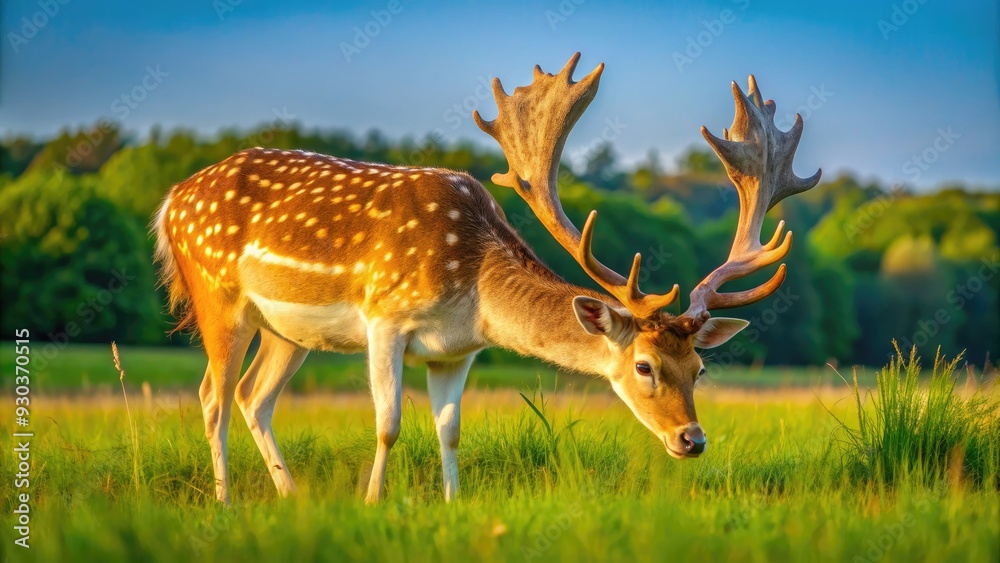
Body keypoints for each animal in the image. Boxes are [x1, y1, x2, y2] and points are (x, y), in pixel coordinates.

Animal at [153, 53, 820, 505]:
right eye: (644, 365)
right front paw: (373, 504)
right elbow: (389, 425)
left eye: (700, 368)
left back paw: (291, 499)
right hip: (219, 298)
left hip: (288, 331)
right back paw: (226, 504)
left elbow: (449, 431)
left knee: (253, 397)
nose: (692, 440)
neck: (472, 289)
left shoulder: (457, 351)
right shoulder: (384, 317)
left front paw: (451, 506)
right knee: (213, 396)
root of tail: (169, 201)